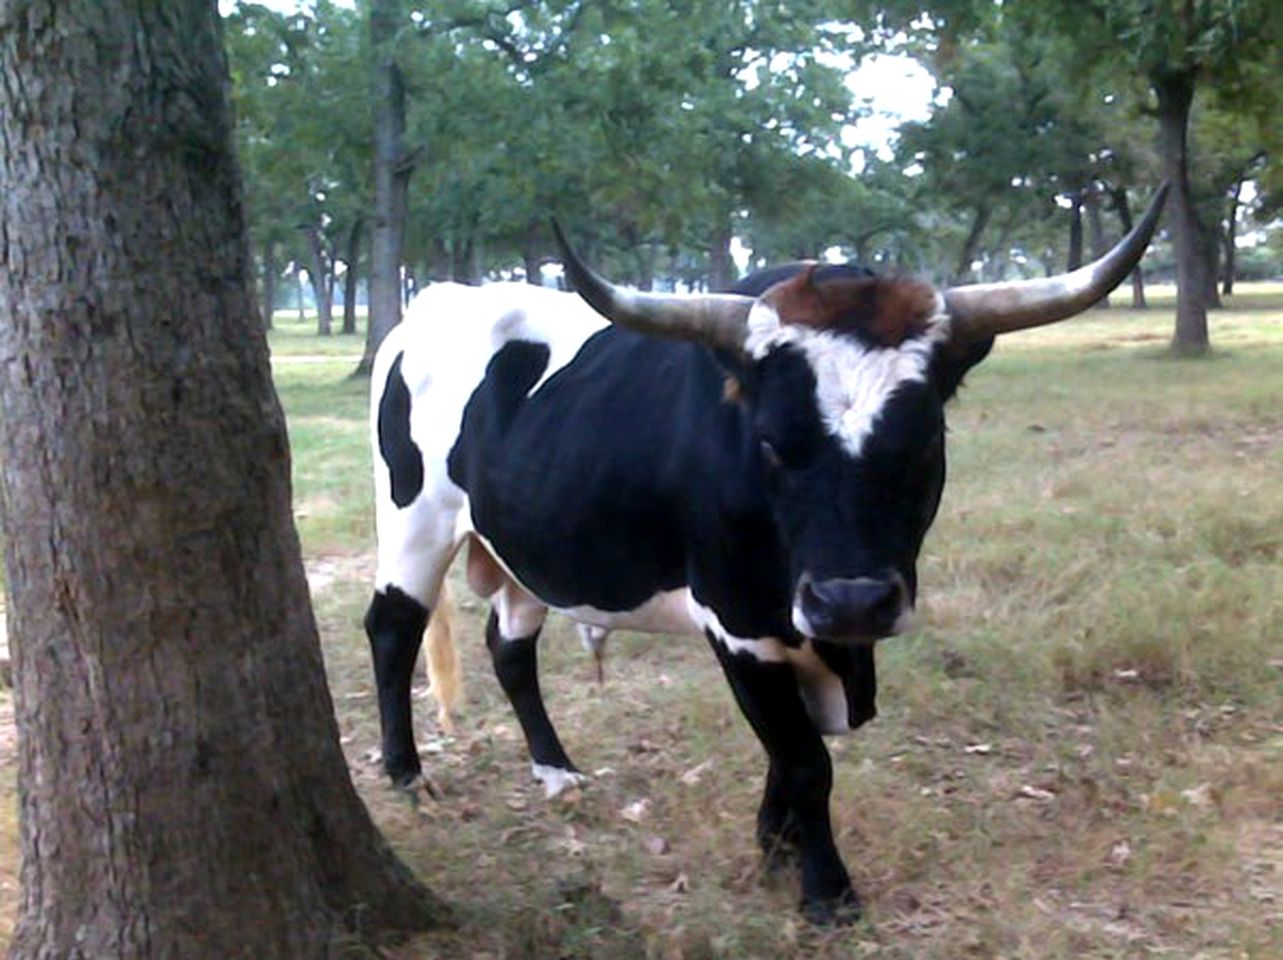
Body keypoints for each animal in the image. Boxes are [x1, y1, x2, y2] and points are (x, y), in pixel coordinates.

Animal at [366, 187, 1170, 924]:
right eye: (772, 442)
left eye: (924, 441)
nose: (852, 600)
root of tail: (438, 298)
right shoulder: (740, 623)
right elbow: (804, 759)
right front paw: (826, 891)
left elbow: (791, 754)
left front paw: (774, 848)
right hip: (413, 524)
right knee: (392, 631)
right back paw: (409, 777)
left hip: (527, 545)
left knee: (508, 645)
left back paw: (556, 771)